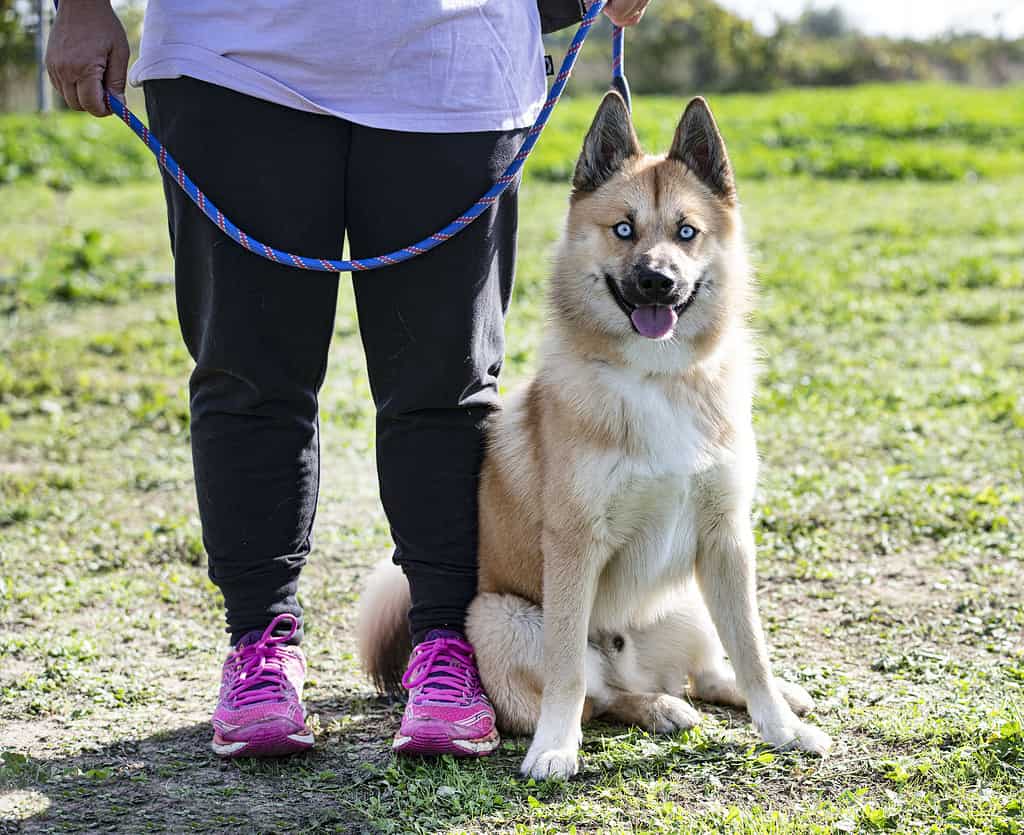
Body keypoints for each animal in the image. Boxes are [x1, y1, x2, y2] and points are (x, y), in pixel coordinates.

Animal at [360, 93, 831, 782]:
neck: (658, 378)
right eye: (624, 230)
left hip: (691, 598)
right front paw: (555, 747)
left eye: (687, 232)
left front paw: (781, 727)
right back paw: (656, 708)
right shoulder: (575, 547)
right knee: (604, 696)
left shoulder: (726, 539)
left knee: (708, 673)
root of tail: (633, 659)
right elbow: (566, 677)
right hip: (498, 617)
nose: (658, 281)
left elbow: (752, 651)